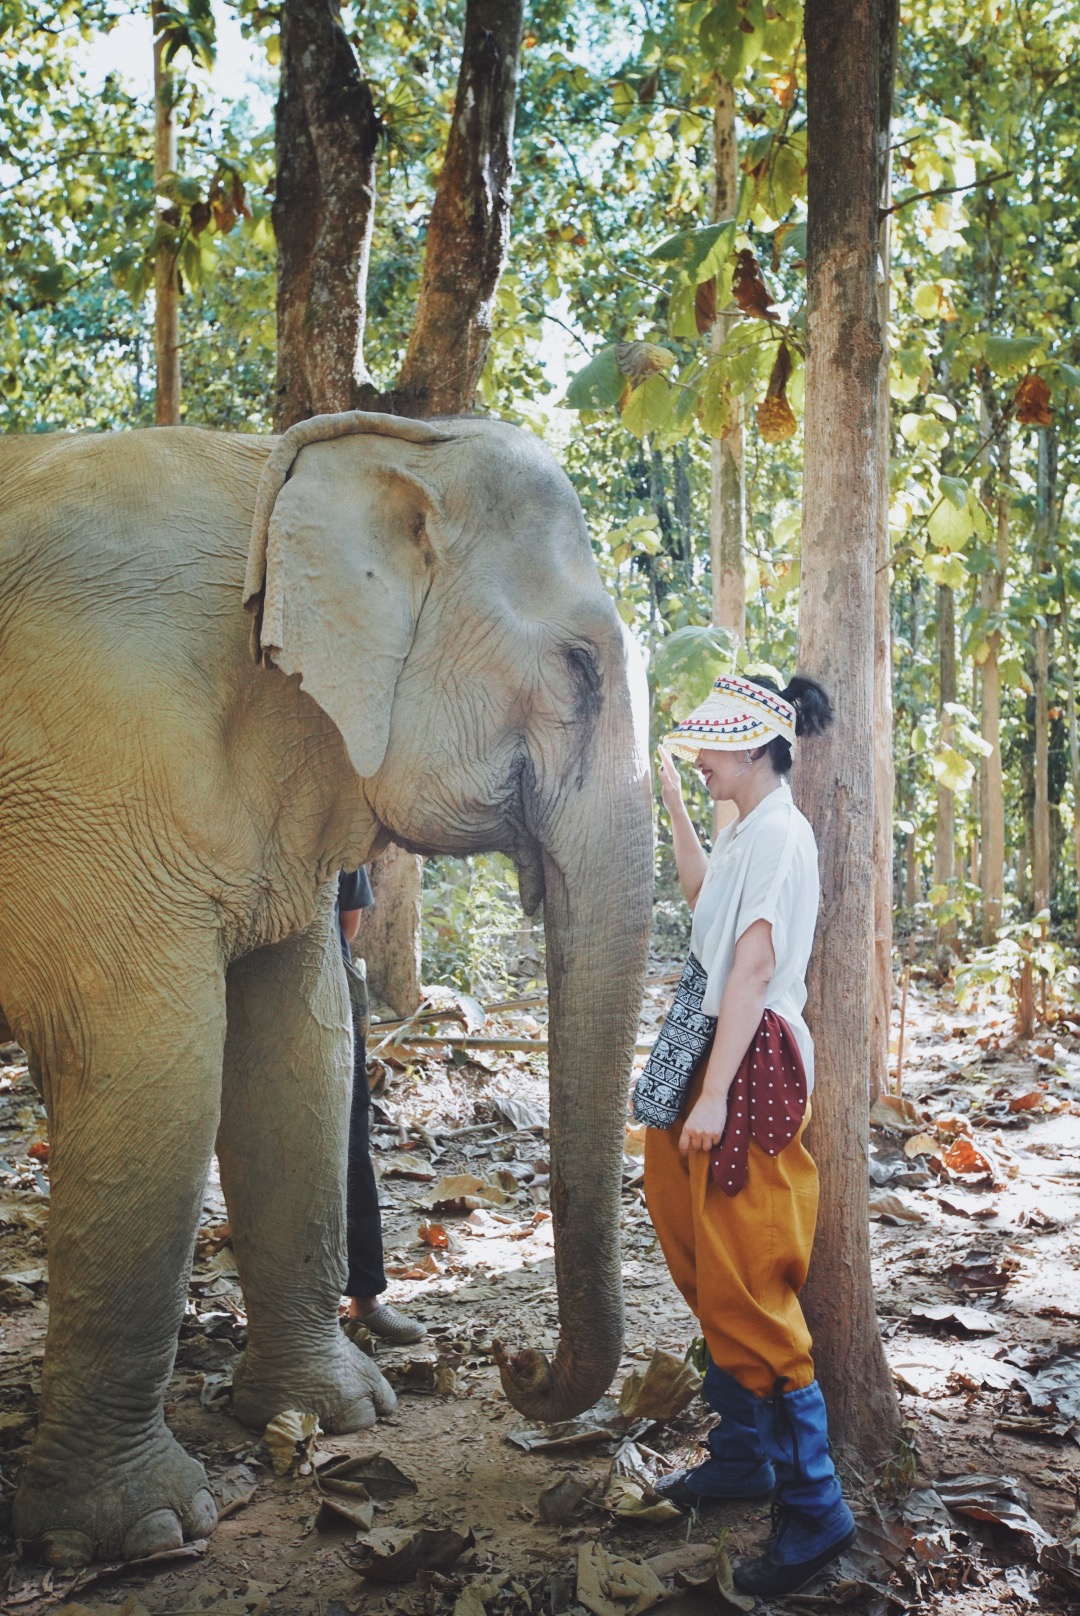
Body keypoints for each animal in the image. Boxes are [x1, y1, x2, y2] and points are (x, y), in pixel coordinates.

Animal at [0, 413, 653, 1564]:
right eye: (580, 668)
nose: (516, 1362)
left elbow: (299, 1051)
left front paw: (343, 1413)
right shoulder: (90, 762)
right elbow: (154, 1069)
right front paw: (142, 1532)